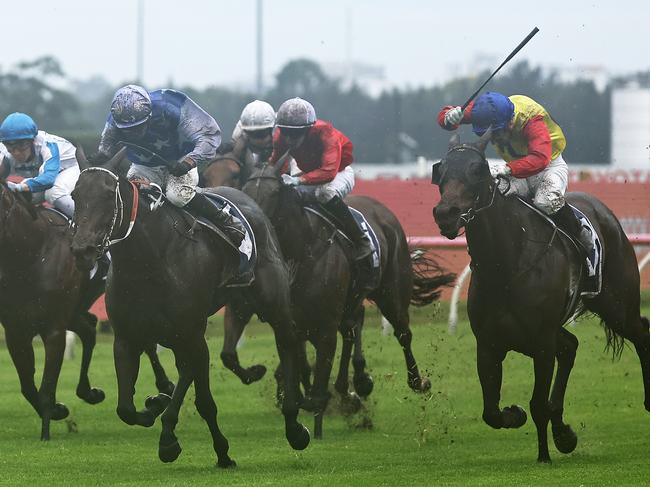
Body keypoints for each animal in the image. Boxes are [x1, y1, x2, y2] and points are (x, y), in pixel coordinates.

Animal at [71, 150, 308, 468]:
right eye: (75, 194)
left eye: (109, 195)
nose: (82, 250)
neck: (147, 262)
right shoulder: (127, 338)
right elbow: (126, 409)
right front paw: (156, 405)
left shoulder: (191, 334)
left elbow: (200, 396)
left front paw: (176, 441)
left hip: (274, 304)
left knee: (287, 341)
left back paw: (295, 424)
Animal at [240, 163, 454, 438]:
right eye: (245, 189)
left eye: (274, 192)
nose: (252, 222)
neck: (301, 250)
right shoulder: (294, 320)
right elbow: (303, 364)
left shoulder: (326, 321)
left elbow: (319, 371)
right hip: (352, 301)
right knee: (353, 327)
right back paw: (355, 383)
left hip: (391, 292)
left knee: (402, 333)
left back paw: (415, 382)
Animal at [430, 132, 648, 464]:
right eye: (441, 171)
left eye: (477, 170)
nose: (446, 214)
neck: (505, 266)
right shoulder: (488, 344)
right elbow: (491, 412)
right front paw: (518, 416)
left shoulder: (542, 344)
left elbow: (537, 403)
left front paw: (543, 454)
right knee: (570, 346)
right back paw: (563, 432)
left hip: (618, 307)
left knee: (641, 332)